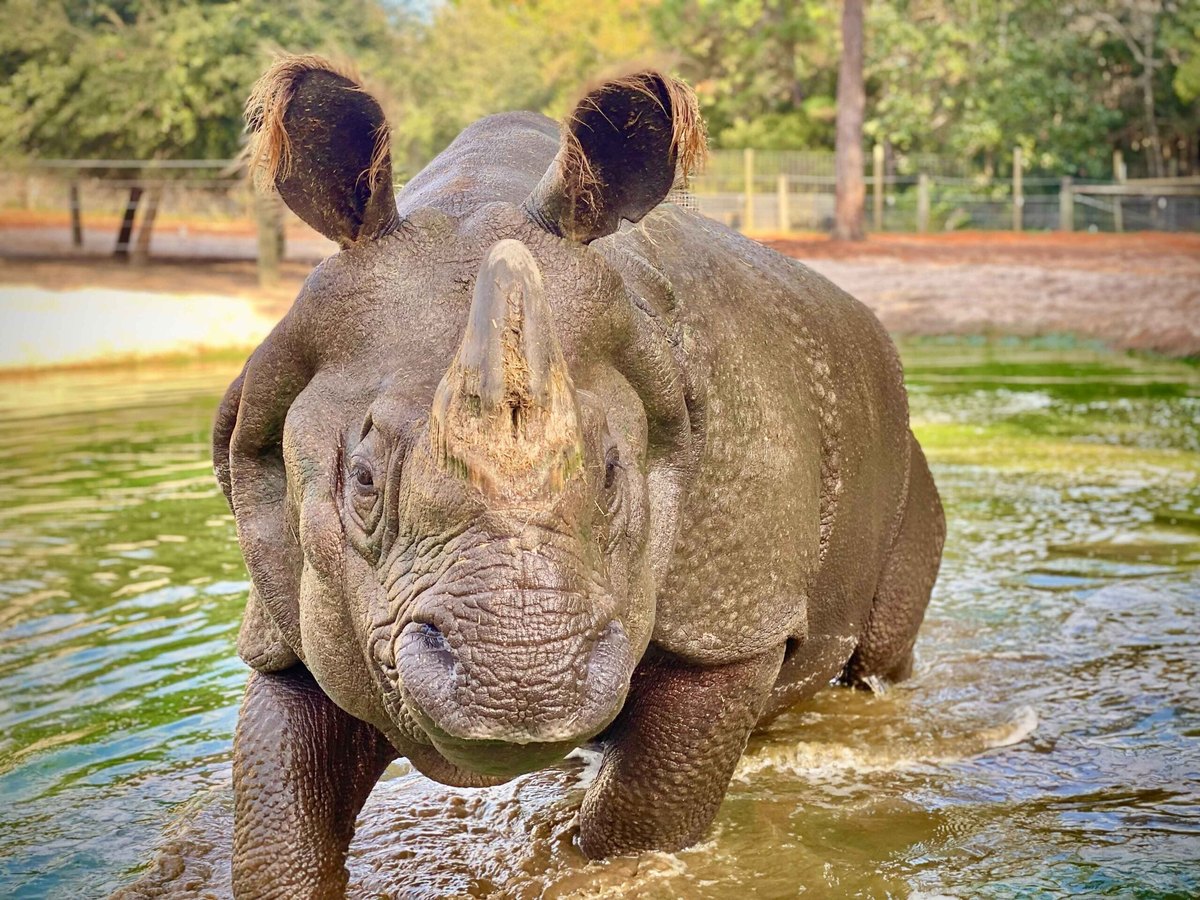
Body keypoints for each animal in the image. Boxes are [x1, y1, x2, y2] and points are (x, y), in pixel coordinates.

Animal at [214, 54, 945, 896]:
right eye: (362, 481)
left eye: (611, 477)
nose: (520, 685)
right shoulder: (289, 615)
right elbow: (280, 812)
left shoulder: (732, 619)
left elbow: (637, 821)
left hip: (906, 464)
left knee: (878, 659)